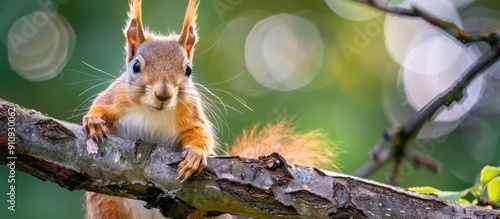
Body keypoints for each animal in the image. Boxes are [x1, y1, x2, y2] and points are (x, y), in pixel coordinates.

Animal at [84, 0, 338, 218]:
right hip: (108, 204)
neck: (153, 112)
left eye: (188, 70)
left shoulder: (191, 112)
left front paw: (195, 155)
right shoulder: (116, 99)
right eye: (136, 66)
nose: (164, 94)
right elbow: (100, 107)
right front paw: (94, 121)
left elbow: (200, 132)